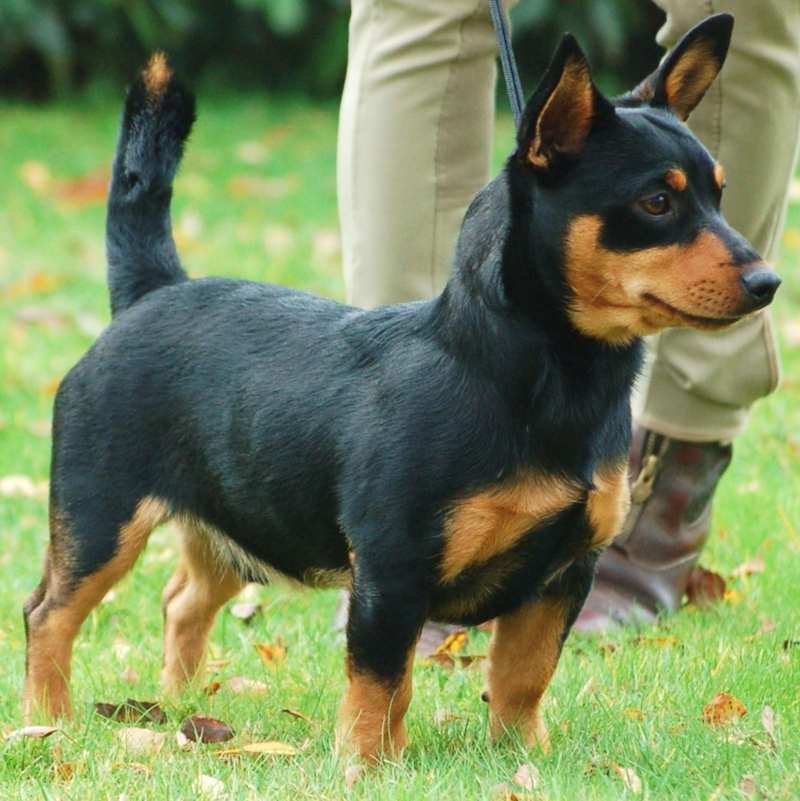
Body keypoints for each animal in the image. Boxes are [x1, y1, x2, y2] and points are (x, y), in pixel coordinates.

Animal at [23, 15, 776, 760]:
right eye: (657, 201)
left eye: (719, 195)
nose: (767, 281)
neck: (523, 372)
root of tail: (154, 289)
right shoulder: (393, 570)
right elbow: (381, 680)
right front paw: (366, 764)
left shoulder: (563, 573)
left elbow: (523, 674)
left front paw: (521, 756)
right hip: (101, 519)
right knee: (48, 613)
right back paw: (48, 721)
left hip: (233, 523)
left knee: (182, 600)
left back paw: (177, 704)